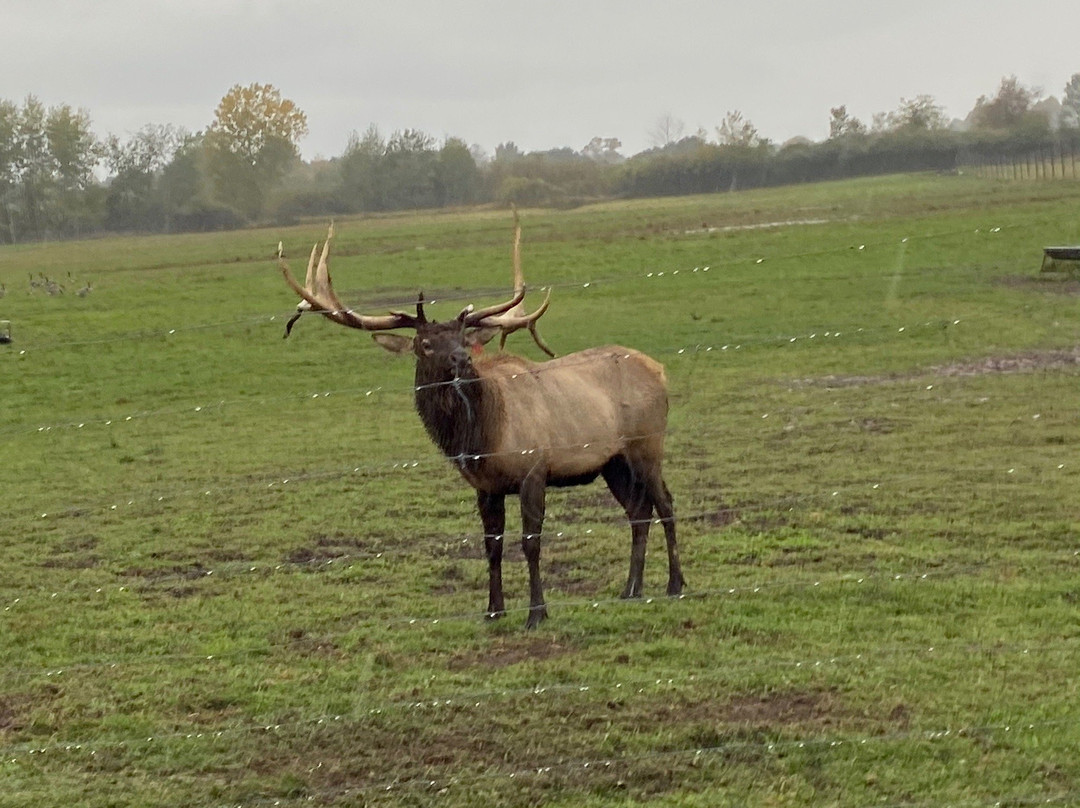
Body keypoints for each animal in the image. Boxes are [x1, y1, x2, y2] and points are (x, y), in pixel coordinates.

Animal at [278, 221, 682, 630]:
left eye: (461, 337)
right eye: (424, 343)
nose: (462, 360)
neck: (480, 440)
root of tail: (661, 370)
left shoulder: (534, 469)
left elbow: (530, 542)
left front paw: (537, 613)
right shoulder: (484, 486)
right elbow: (492, 545)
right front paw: (493, 610)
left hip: (647, 443)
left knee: (664, 502)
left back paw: (674, 585)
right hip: (613, 462)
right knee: (637, 511)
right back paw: (631, 589)